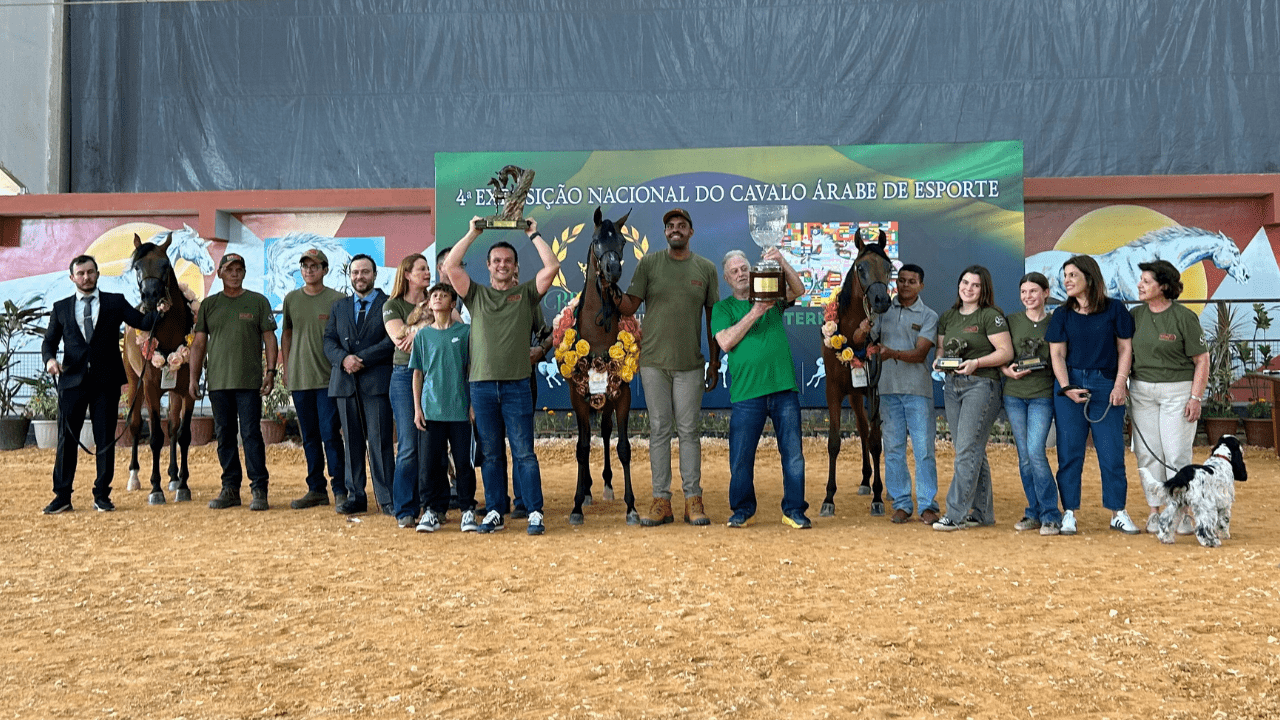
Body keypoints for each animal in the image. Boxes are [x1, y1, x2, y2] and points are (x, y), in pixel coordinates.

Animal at [555, 206, 645, 520]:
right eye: (596, 241)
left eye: (622, 242)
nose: (612, 270)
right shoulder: (578, 398)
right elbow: (582, 447)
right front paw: (576, 504)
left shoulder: (622, 395)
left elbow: (623, 447)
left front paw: (631, 507)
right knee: (587, 438)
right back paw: (588, 490)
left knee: (605, 432)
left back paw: (605, 484)